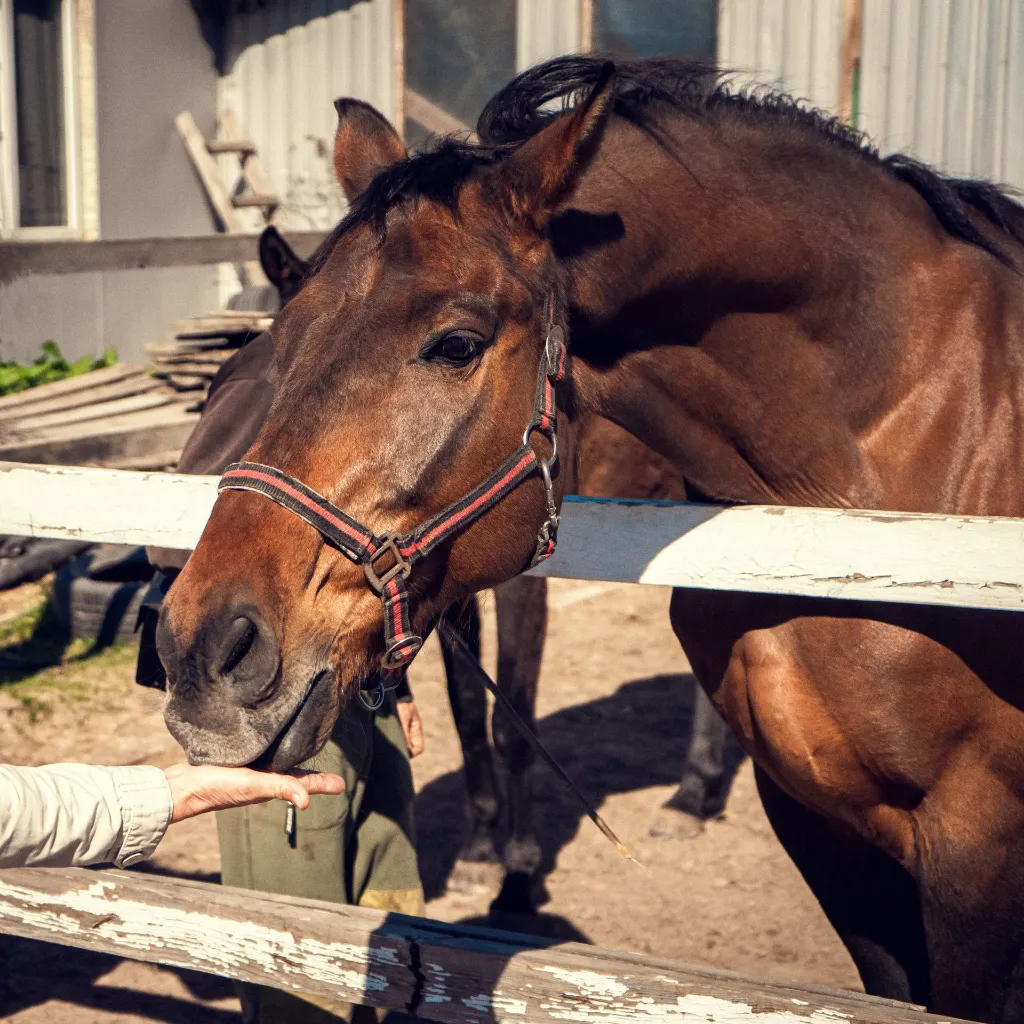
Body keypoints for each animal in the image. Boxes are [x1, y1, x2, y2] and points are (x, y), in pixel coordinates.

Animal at [259, 224, 740, 911]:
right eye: (277, 361)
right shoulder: (446, 595)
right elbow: (466, 710)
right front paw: (481, 850)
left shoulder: (521, 582)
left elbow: (511, 718)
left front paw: (519, 871)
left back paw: (691, 796)